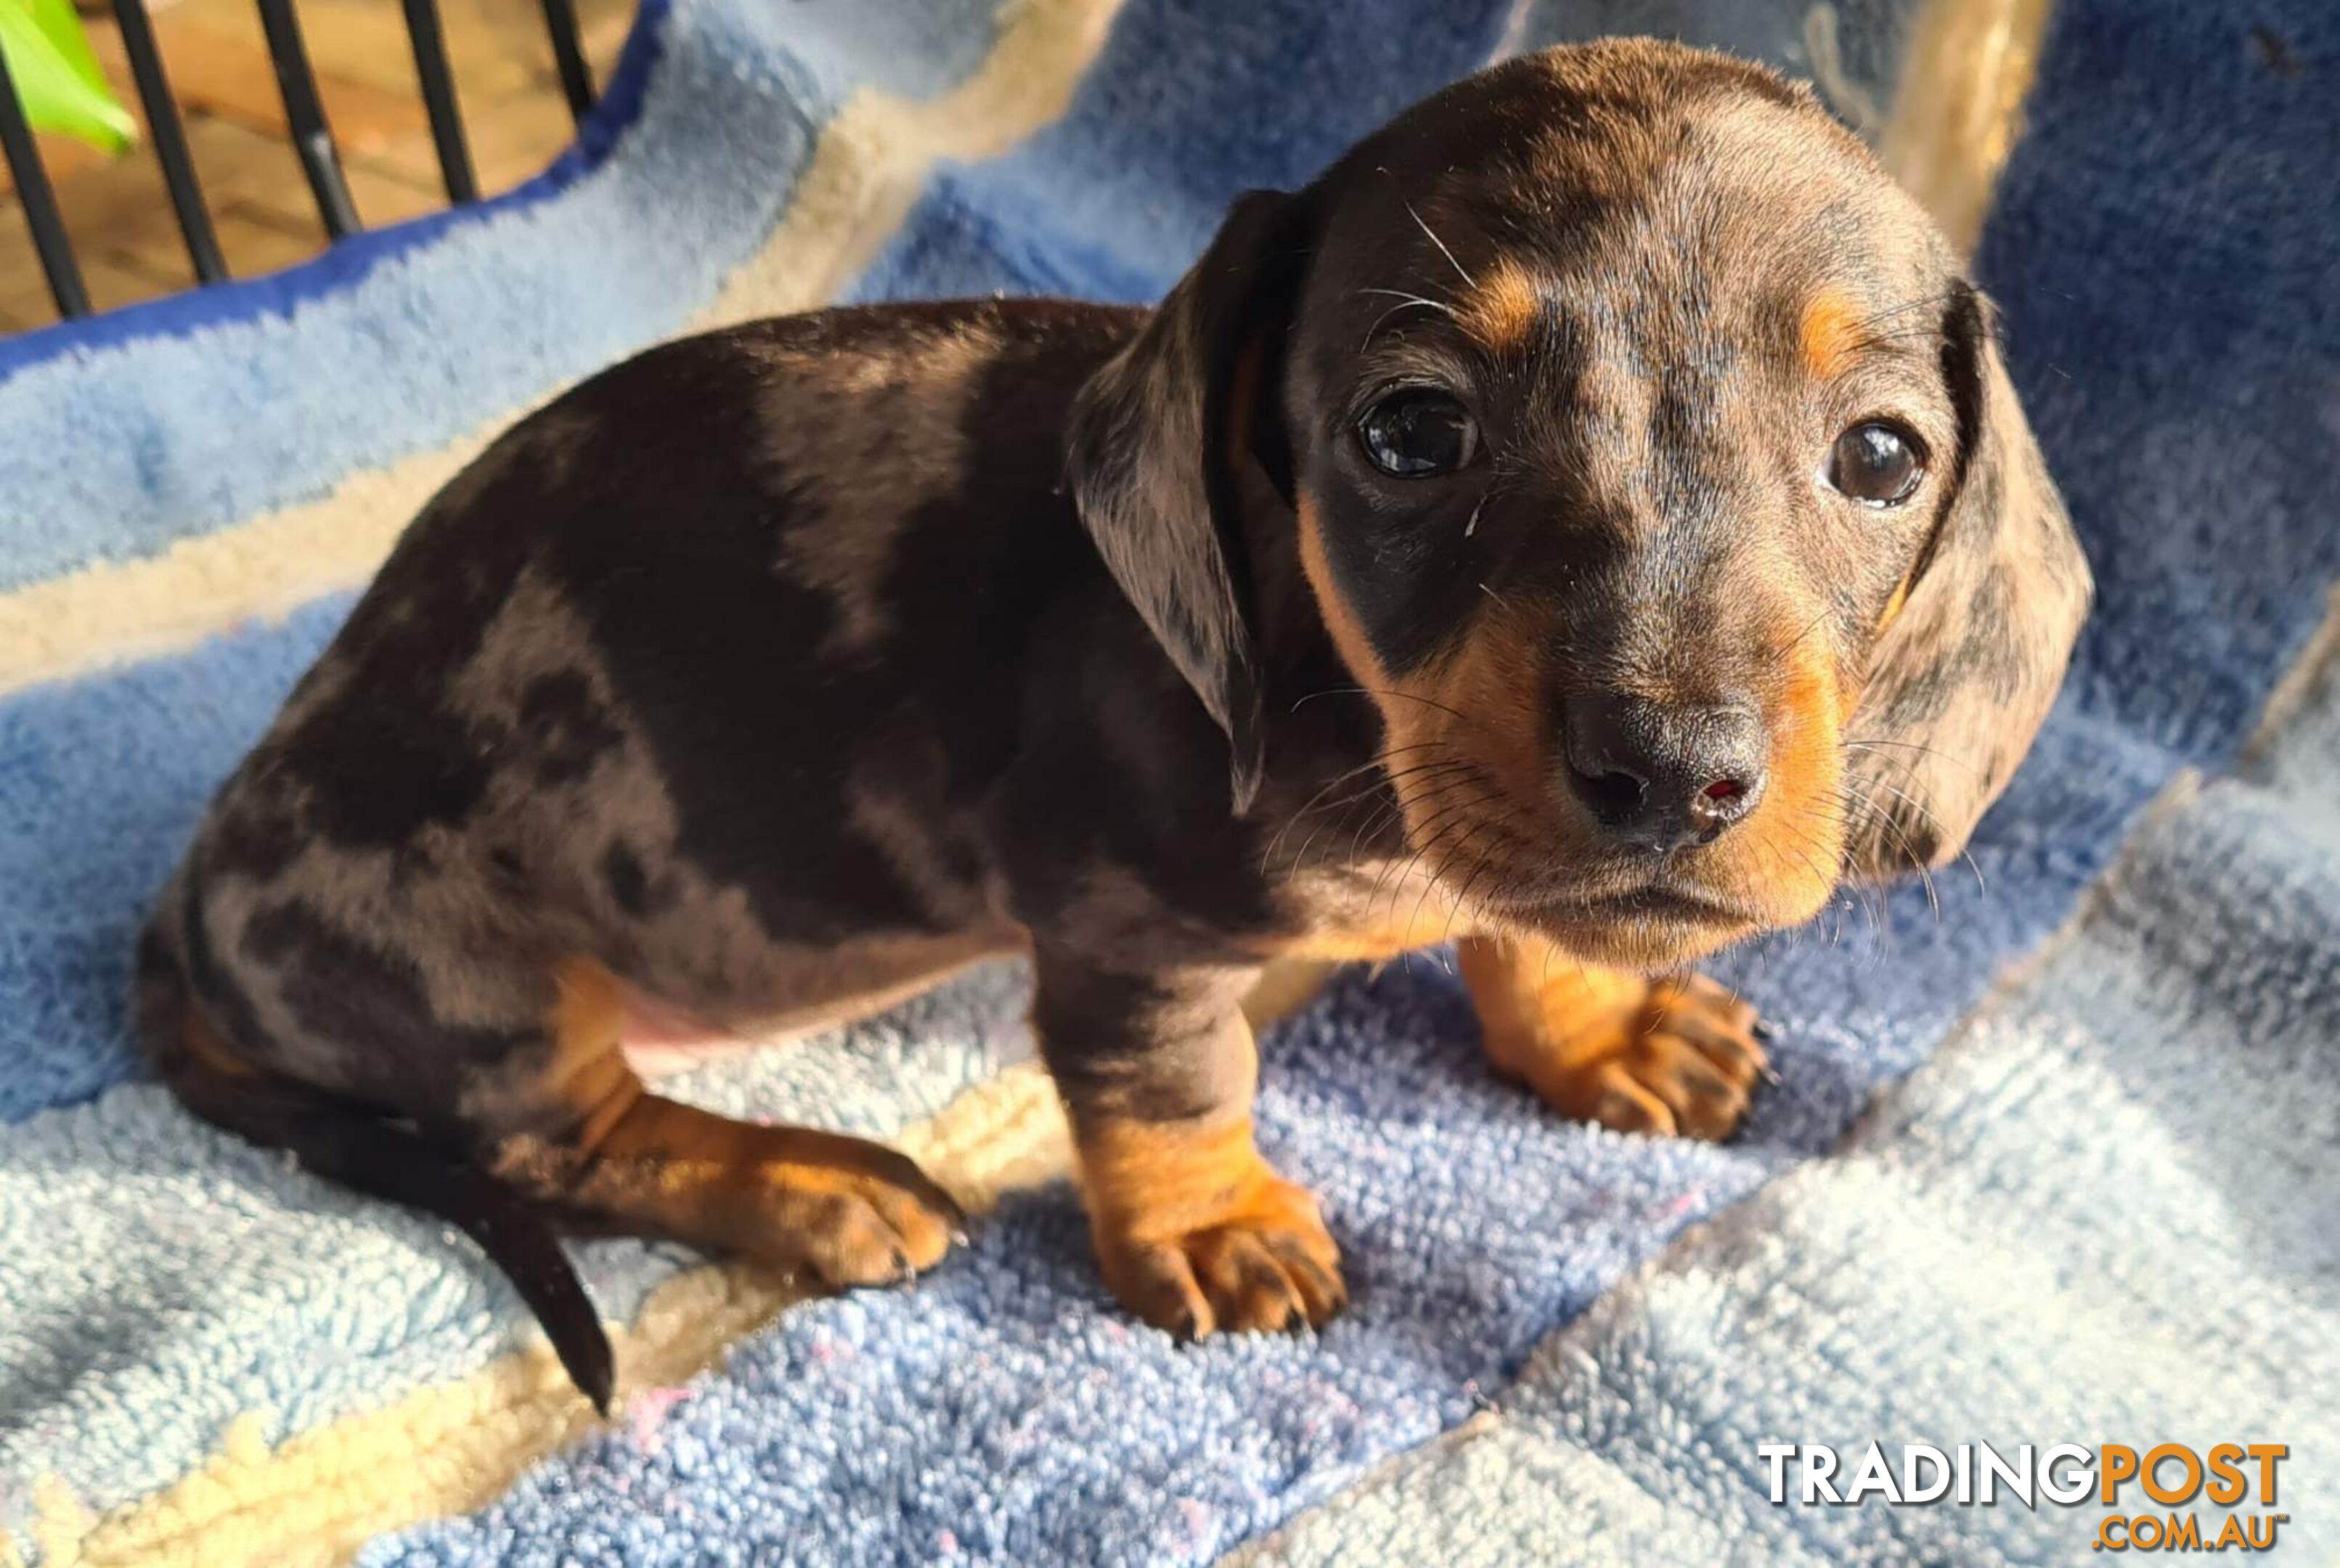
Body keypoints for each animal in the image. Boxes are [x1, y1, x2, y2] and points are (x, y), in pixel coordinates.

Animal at [136, 36, 2096, 1413]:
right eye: (1412, 430)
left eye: (1879, 455)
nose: (1671, 773)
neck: (1348, 728)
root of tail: (200, 880)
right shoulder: (1114, 925)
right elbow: (1171, 1086)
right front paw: (1211, 1224)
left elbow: (1528, 939)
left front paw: (1599, 1023)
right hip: (476, 966)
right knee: (561, 1142)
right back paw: (811, 1189)